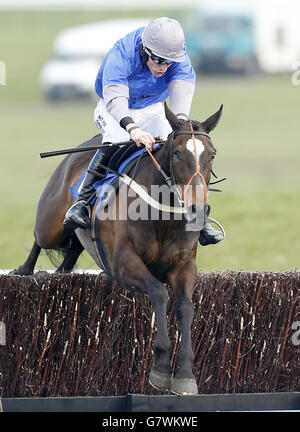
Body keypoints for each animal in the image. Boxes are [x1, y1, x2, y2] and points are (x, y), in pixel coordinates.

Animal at [14, 104, 223, 394]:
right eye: (178, 152)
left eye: (212, 154)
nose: (197, 210)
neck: (163, 217)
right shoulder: (123, 265)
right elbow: (159, 292)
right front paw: (161, 369)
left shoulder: (184, 267)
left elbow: (185, 306)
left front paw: (185, 374)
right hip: (50, 223)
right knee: (39, 239)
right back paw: (24, 270)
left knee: (72, 251)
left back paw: (61, 272)